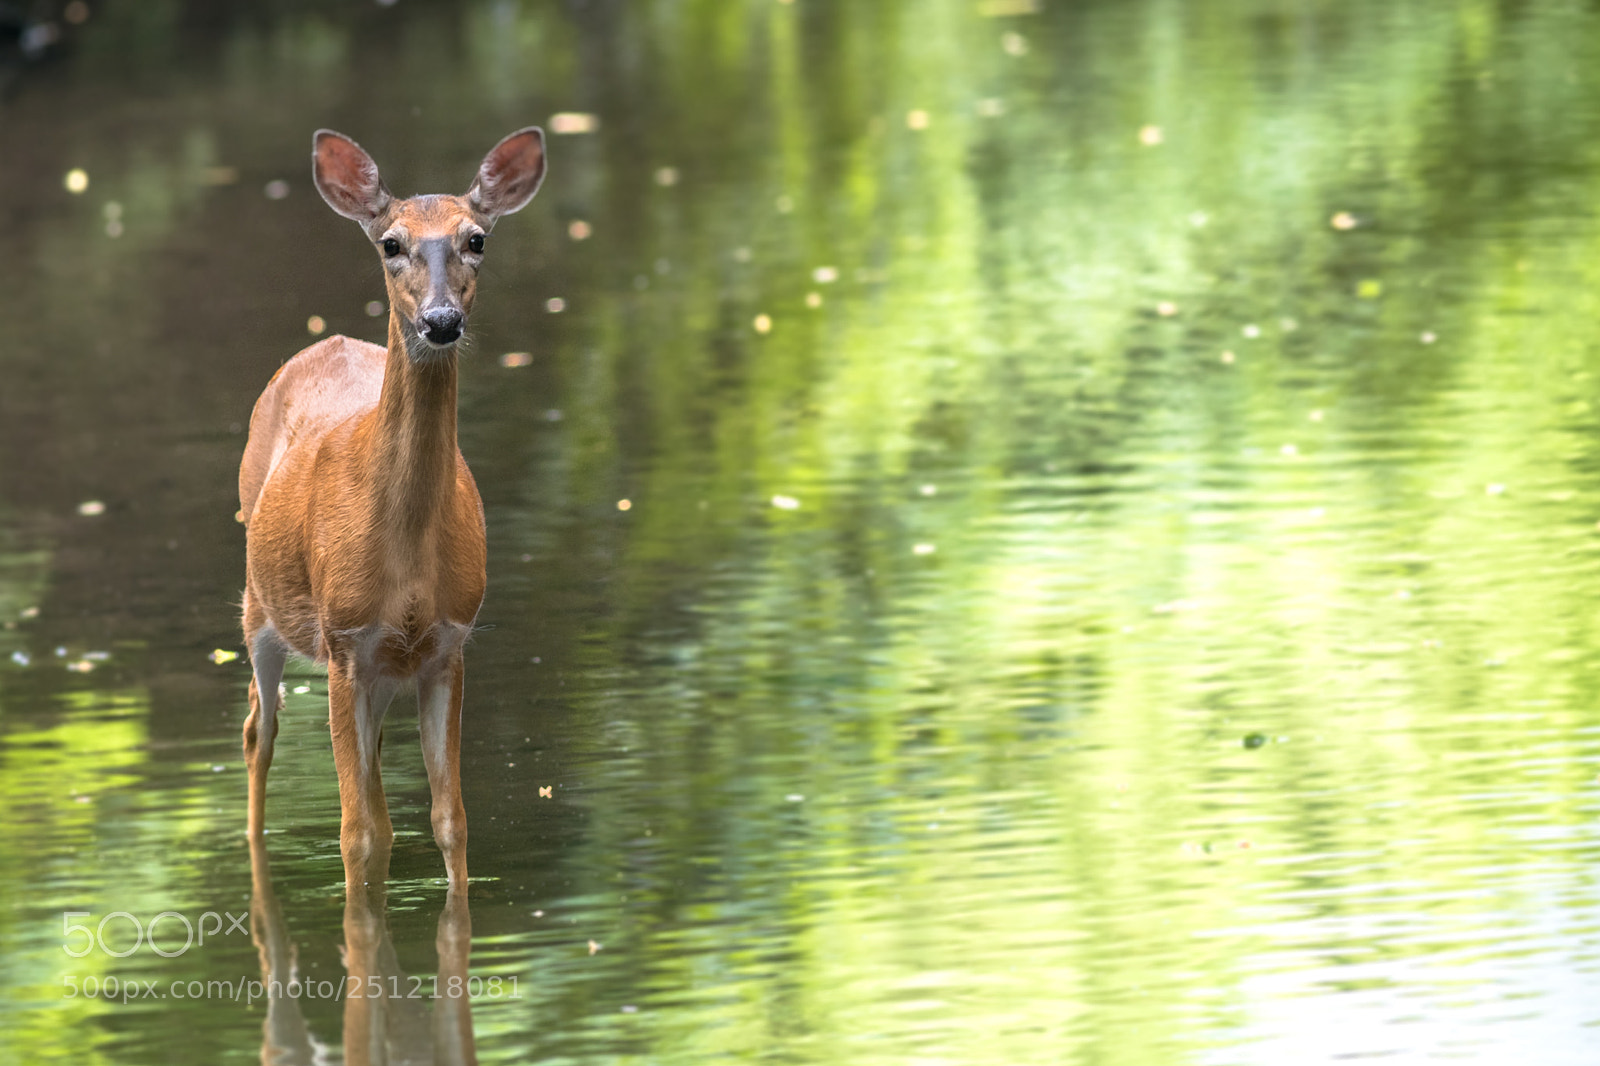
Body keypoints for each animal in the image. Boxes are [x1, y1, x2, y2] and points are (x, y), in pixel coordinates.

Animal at [238, 127, 546, 890]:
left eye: (476, 239)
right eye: (391, 243)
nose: (440, 321)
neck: (402, 552)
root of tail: (326, 341)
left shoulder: (447, 643)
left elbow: (449, 821)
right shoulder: (345, 641)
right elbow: (356, 834)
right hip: (261, 605)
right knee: (261, 729)